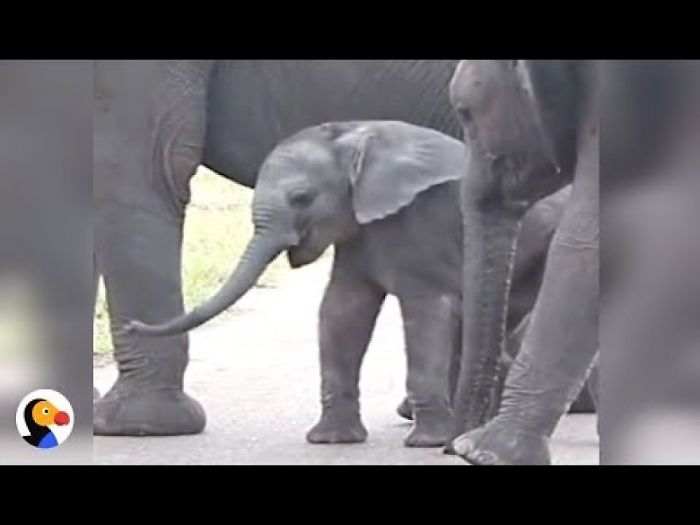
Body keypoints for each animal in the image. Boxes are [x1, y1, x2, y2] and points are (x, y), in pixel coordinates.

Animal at [128, 120, 590, 447]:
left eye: (301, 198)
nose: (132, 325)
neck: (355, 139)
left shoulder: (420, 223)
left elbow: (426, 313)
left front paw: (426, 444)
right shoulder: (357, 233)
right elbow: (341, 311)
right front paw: (330, 441)